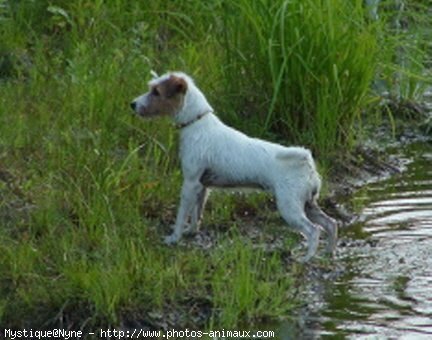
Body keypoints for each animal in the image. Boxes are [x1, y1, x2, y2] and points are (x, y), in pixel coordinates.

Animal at [132, 71, 338, 260]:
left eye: (156, 92)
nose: (132, 104)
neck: (197, 123)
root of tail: (306, 162)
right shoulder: (202, 187)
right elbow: (196, 213)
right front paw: (192, 231)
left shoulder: (190, 183)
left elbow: (182, 214)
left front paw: (174, 237)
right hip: (309, 204)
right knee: (331, 224)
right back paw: (329, 252)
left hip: (290, 207)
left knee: (314, 230)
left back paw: (306, 258)